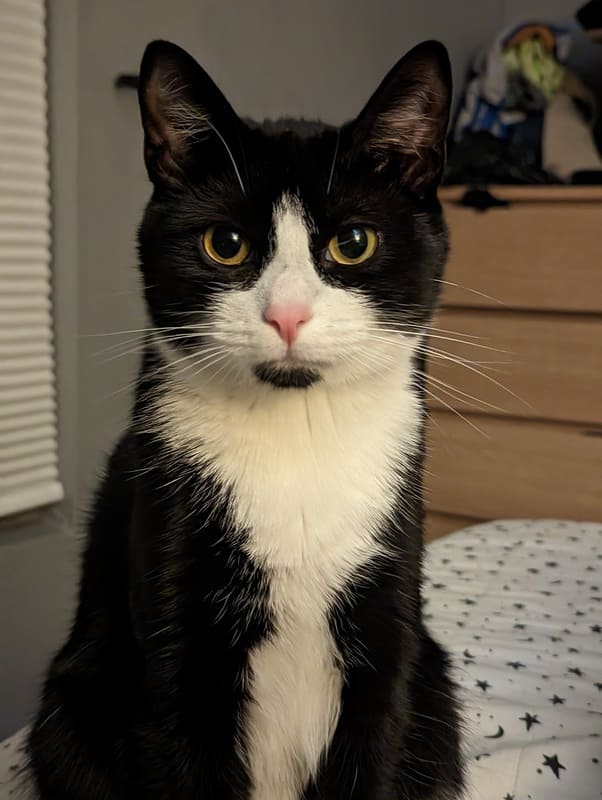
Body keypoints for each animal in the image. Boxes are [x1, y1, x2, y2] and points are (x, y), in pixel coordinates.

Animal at [28, 39, 464, 800]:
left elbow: (377, 741)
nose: (286, 315)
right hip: (68, 710)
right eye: (225, 243)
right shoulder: (174, 626)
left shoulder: (389, 624)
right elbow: (178, 743)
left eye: (353, 241)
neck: (298, 440)